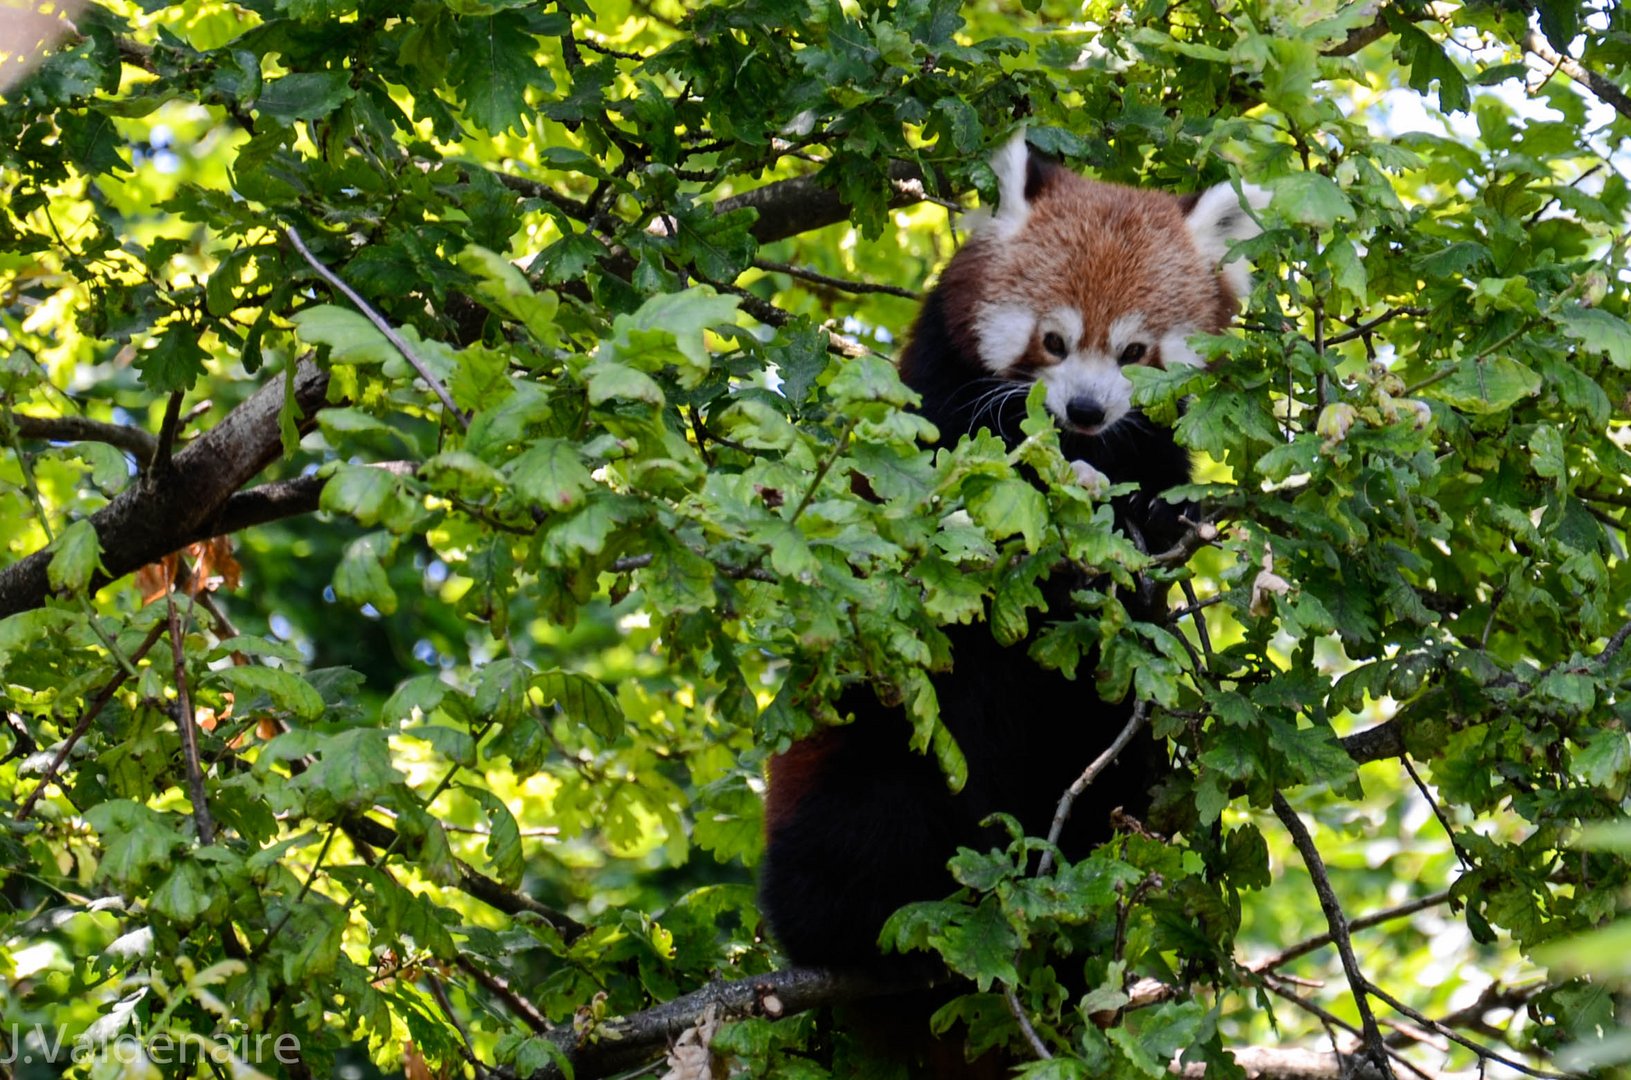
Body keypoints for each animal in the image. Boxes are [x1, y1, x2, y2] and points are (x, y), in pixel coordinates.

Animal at [756, 132, 1265, 972]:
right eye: (1053, 340)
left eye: (1134, 350)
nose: (1085, 410)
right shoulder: (940, 398)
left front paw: (1144, 516)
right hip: (873, 735)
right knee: (861, 818)